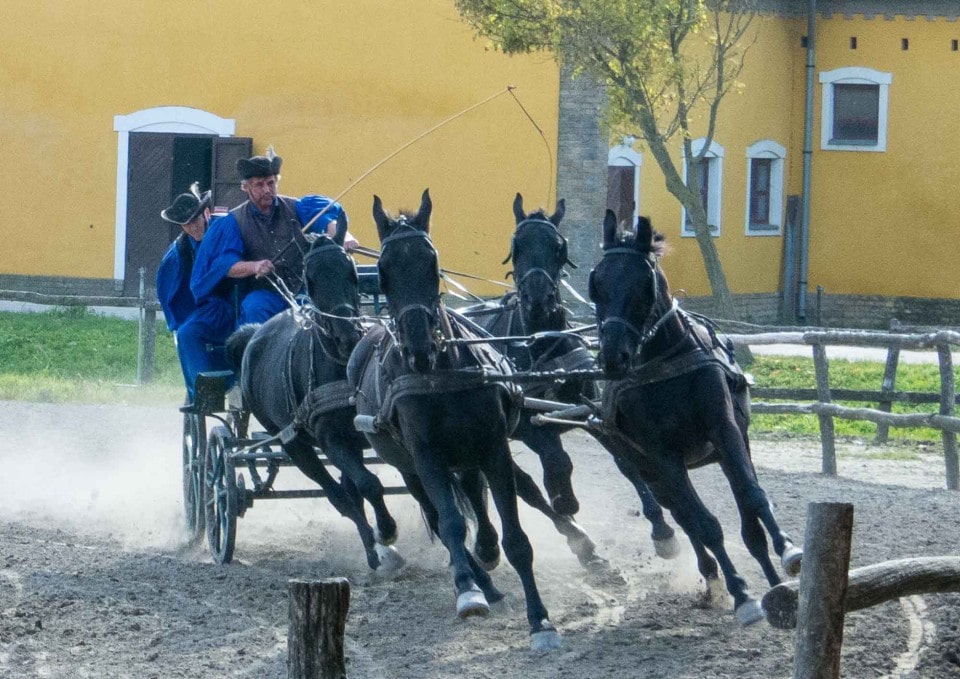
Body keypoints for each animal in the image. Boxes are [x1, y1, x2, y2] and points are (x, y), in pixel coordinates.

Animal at [225, 216, 402, 572]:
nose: (347, 334)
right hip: (294, 444)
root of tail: (254, 334)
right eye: (310, 278)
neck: (342, 365)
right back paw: (375, 552)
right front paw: (386, 533)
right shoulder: (333, 442)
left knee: (348, 492)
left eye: (351, 271)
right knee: (340, 496)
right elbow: (368, 485)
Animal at [348, 189, 564, 652]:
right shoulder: (425, 458)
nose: (418, 347)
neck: (439, 374)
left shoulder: (492, 448)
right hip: (409, 466)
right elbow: (449, 524)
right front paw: (468, 591)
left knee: (477, 506)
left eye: (433, 264)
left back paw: (488, 559)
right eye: (383, 272)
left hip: (466, 457)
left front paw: (540, 620)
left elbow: (515, 537)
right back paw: (478, 581)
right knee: (440, 517)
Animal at [460, 194, 680, 564]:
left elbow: (626, 463)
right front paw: (565, 499)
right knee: (525, 488)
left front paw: (662, 530)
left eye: (558, 247)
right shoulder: (528, 424)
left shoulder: (590, 409)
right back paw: (575, 535)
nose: (538, 299)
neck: (542, 343)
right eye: (516, 246)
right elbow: (556, 460)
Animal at [588, 211, 808, 620]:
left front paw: (788, 552)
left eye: (644, 283)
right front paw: (741, 593)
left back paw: (773, 583)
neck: (665, 363)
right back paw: (712, 575)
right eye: (597, 283)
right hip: (650, 472)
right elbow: (705, 525)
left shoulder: (725, 431)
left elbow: (754, 498)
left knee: (745, 523)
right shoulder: (664, 458)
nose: (613, 358)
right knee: (684, 519)